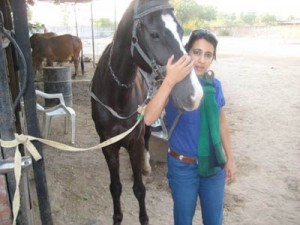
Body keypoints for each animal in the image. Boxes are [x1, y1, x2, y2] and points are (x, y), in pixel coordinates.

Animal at [90, 0, 203, 224]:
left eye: (180, 30)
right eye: (154, 34)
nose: (194, 95)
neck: (116, 96)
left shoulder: (135, 142)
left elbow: (139, 189)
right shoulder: (107, 145)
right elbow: (115, 188)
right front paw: (117, 217)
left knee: (149, 137)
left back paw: (146, 165)